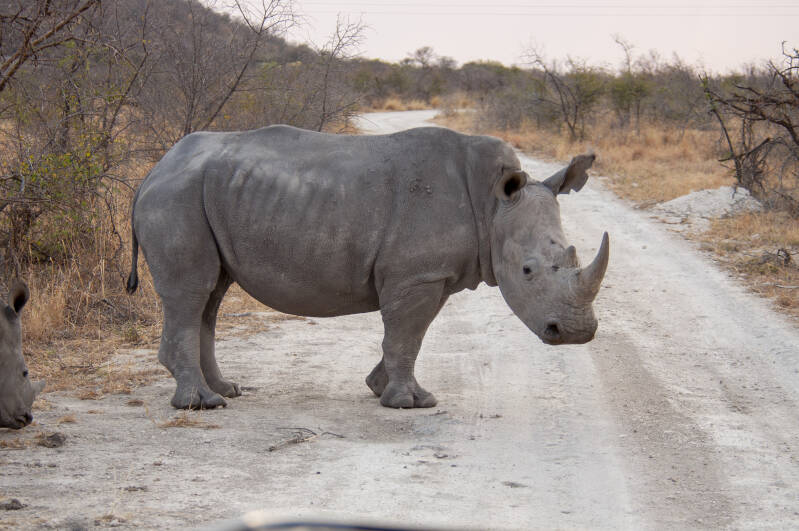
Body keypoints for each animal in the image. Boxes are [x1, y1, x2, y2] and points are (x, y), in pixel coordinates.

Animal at [127, 126, 609, 410]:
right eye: (528, 271)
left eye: (570, 256)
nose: (576, 333)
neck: (493, 206)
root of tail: (152, 171)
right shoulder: (418, 274)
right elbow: (407, 334)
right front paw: (408, 403)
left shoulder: (430, 275)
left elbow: (411, 334)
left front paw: (381, 387)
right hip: (176, 196)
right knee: (193, 292)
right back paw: (202, 404)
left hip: (203, 193)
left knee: (212, 294)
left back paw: (227, 390)